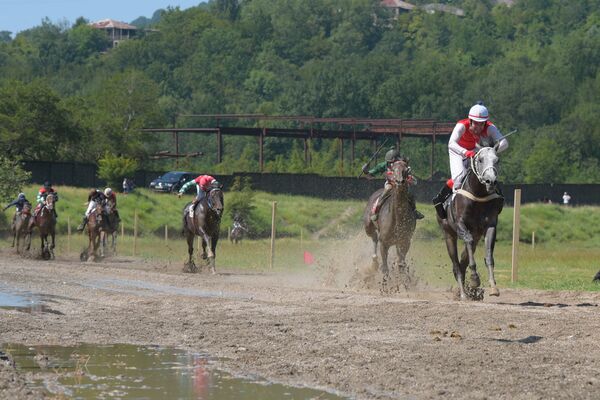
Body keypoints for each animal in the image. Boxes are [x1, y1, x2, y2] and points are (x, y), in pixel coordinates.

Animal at [438, 145, 504, 300]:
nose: (491, 181)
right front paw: (474, 279)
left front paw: (493, 287)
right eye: (480, 160)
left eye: (497, 160)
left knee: (463, 262)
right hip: (449, 234)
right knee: (456, 265)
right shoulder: (461, 224)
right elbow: (467, 242)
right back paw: (463, 294)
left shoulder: (490, 225)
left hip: (476, 234)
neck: (478, 194)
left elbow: (488, 254)